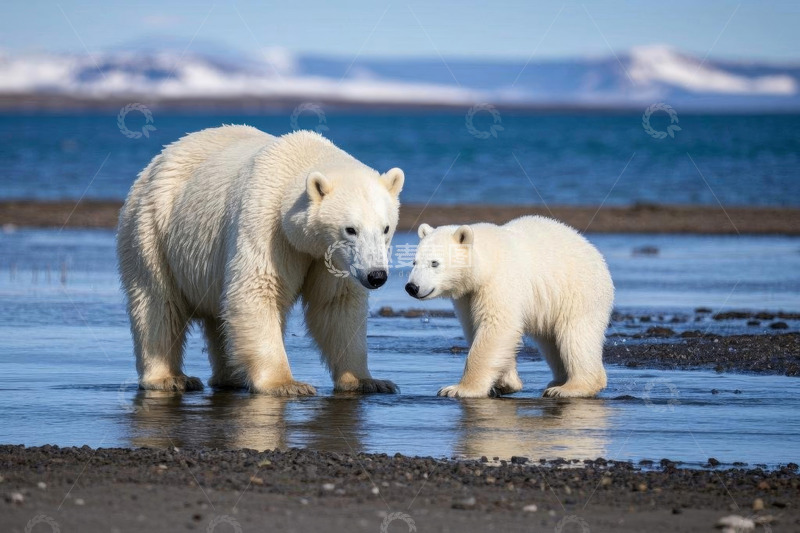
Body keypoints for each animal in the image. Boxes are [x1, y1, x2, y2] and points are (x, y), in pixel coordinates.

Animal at [117, 125, 404, 396]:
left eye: (386, 228)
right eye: (350, 229)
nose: (376, 275)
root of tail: (156, 161)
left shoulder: (330, 258)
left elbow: (337, 305)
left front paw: (368, 381)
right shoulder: (267, 226)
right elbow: (257, 290)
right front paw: (286, 384)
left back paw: (231, 377)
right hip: (152, 229)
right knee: (158, 302)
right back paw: (171, 378)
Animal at [405, 216, 613, 398]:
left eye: (434, 263)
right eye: (414, 262)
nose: (412, 287)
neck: (486, 263)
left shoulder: (500, 282)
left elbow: (497, 326)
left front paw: (457, 389)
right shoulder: (467, 296)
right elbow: (476, 328)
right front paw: (506, 382)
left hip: (577, 293)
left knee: (575, 337)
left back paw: (569, 388)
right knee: (551, 343)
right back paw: (557, 381)